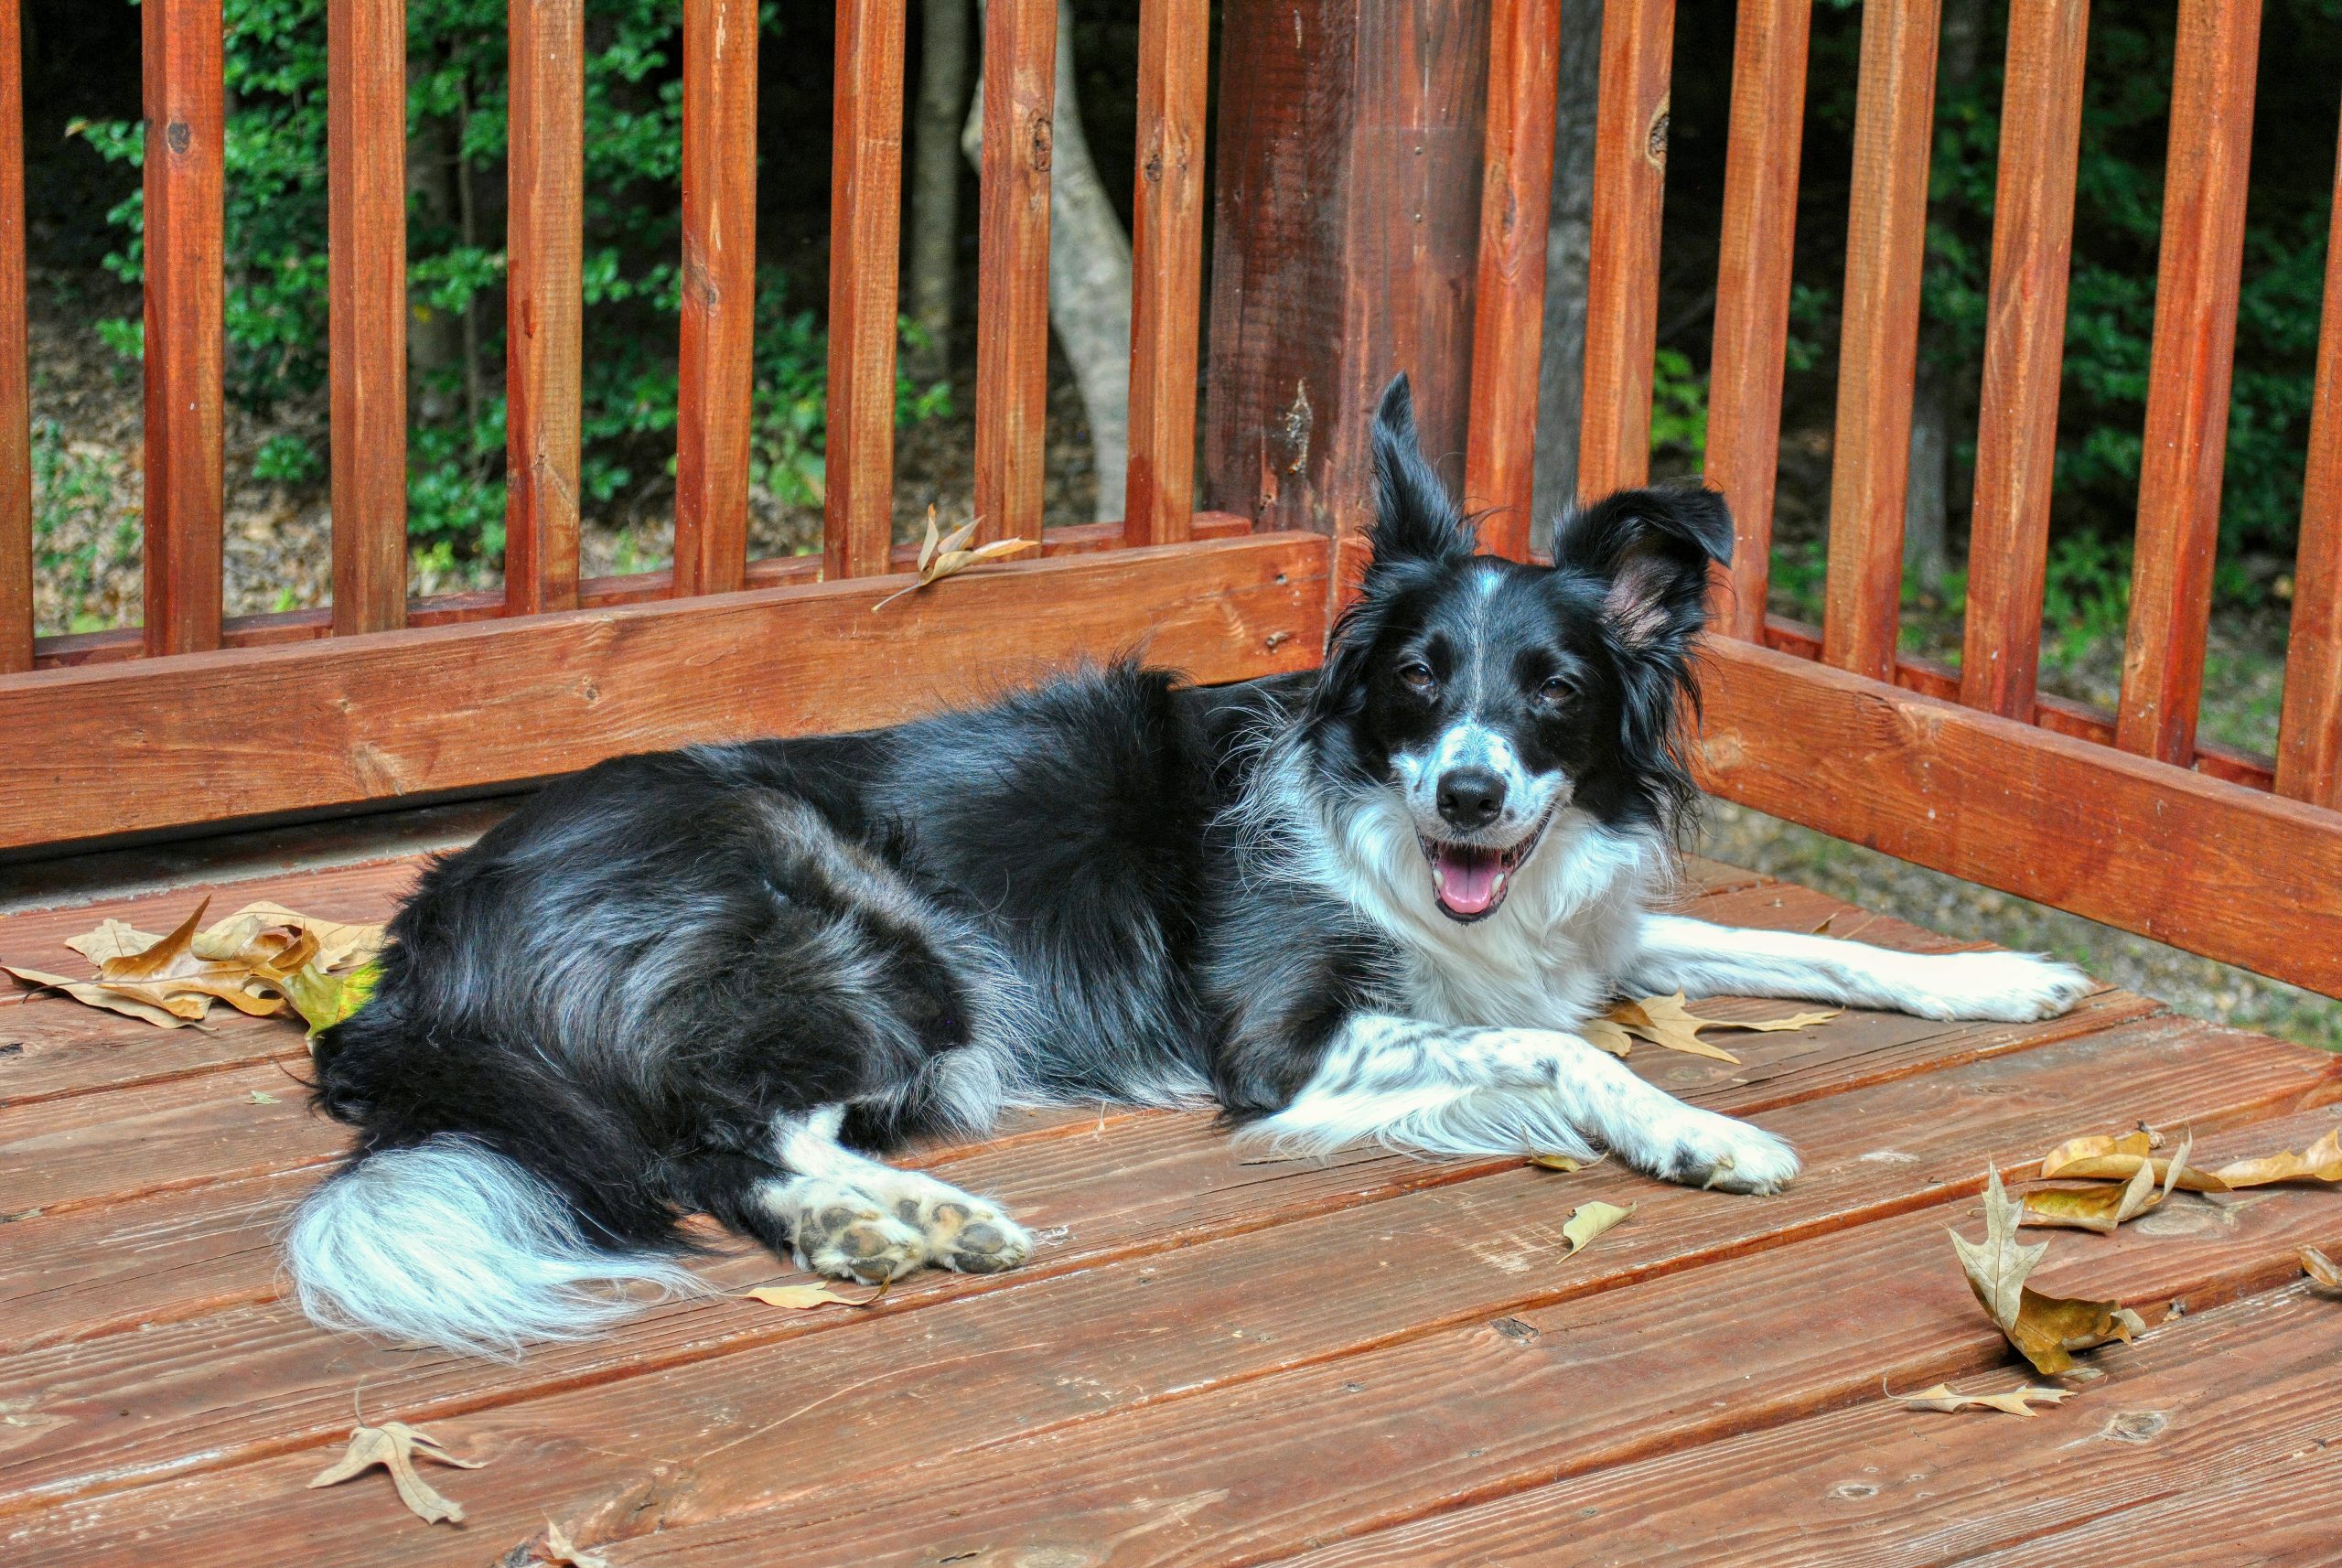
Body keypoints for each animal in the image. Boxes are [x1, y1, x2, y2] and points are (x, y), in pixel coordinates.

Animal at [287, 374, 2089, 1357]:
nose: (1473, 795)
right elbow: (1554, 1050)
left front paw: (1997, 975)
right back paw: (906, 1220)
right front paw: (1703, 1129)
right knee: (719, 1130)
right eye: (1417, 677)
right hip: (878, 933)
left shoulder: (1574, 928)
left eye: (1555, 693)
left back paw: (904, 1222)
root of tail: (424, 936)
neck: (1391, 825)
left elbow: (1806, 947)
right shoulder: (1285, 1039)